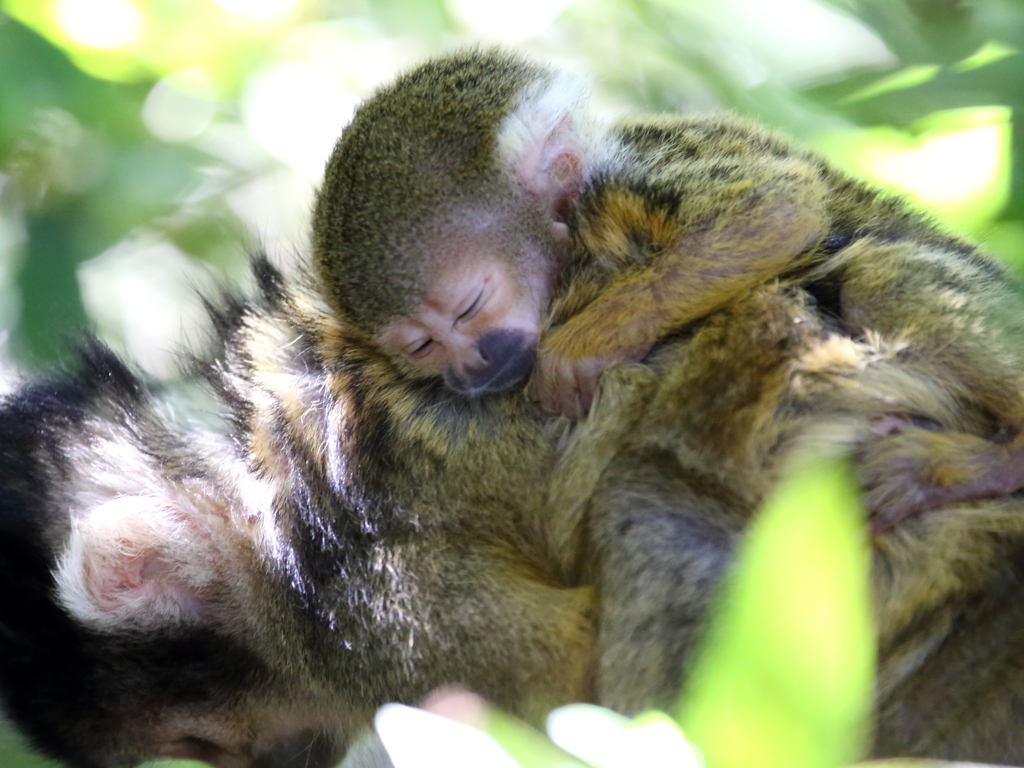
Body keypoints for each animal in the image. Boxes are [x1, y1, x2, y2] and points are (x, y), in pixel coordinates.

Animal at [313, 49, 1024, 528]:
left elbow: (775, 209)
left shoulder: (622, 180)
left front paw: (580, 347)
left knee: (880, 278)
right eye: (423, 348)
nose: (470, 371)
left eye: (469, 309)